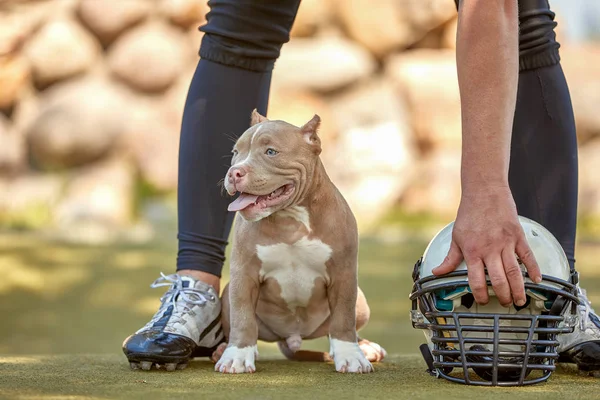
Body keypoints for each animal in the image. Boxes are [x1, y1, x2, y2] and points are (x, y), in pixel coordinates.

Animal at [213, 110, 386, 376]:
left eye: (271, 152)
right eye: (235, 152)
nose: (234, 173)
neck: (290, 218)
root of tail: (292, 338)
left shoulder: (344, 274)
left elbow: (343, 318)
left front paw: (350, 356)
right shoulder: (244, 274)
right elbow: (243, 317)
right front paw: (238, 356)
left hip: (360, 299)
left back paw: (365, 347)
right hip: (226, 298)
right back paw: (224, 349)